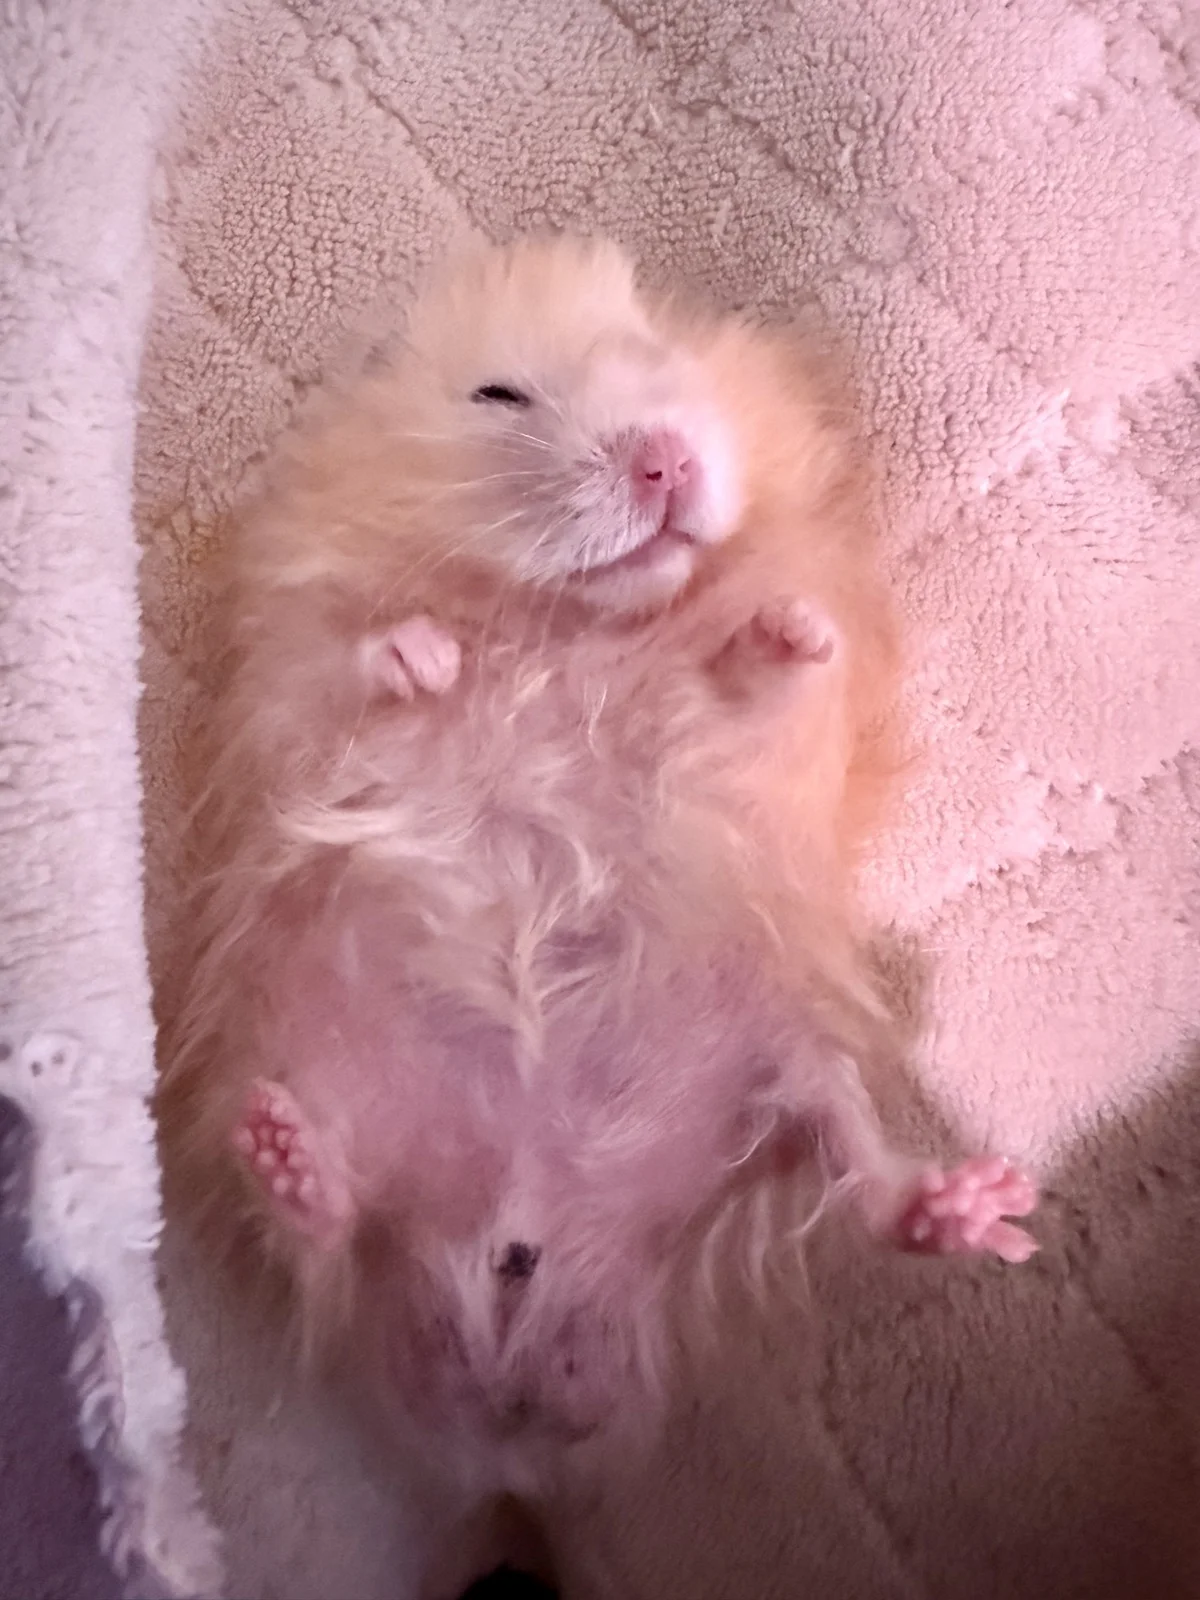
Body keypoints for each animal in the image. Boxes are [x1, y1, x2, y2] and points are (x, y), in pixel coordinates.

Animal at [159, 232, 1037, 1517]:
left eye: (665, 362)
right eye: (498, 395)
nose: (665, 457)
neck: (569, 620)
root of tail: (525, 1278)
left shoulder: (775, 743)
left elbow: (774, 679)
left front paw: (785, 628)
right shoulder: (291, 683)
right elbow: (359, 671)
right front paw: (426, 658)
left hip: (784, 1053)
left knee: (849, 1157)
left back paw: (974, 1209)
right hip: (300, 1041)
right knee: (327, 1220)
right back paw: (289, 1156)